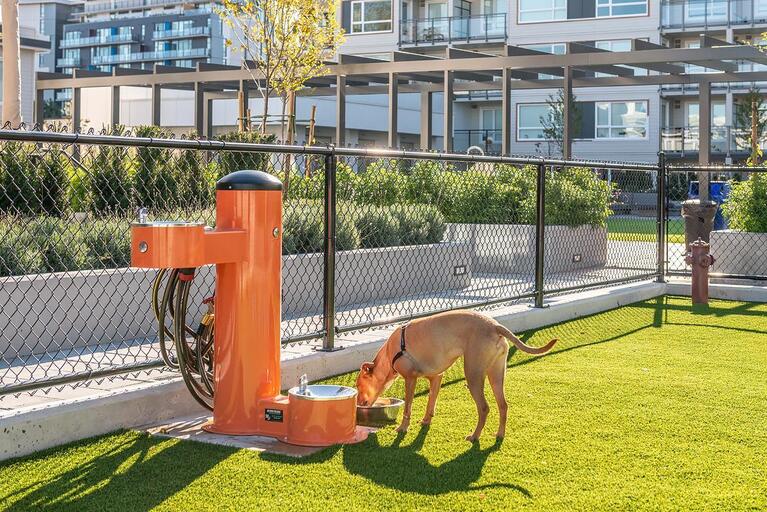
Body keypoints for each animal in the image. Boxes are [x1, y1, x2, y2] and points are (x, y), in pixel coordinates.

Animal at [356, 310, 557, 441]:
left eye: (357, 386)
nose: (357, 403)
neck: (391, 352)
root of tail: (495, 326)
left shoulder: (410, 379)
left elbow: (408, 408)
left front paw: (403, 428)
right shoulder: (436, 377)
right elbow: (431, 402)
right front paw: (426, 420)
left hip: (473, 375)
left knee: (484, 408)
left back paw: (475, 436)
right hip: (496, 375)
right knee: (503, 405)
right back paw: (499, 434)